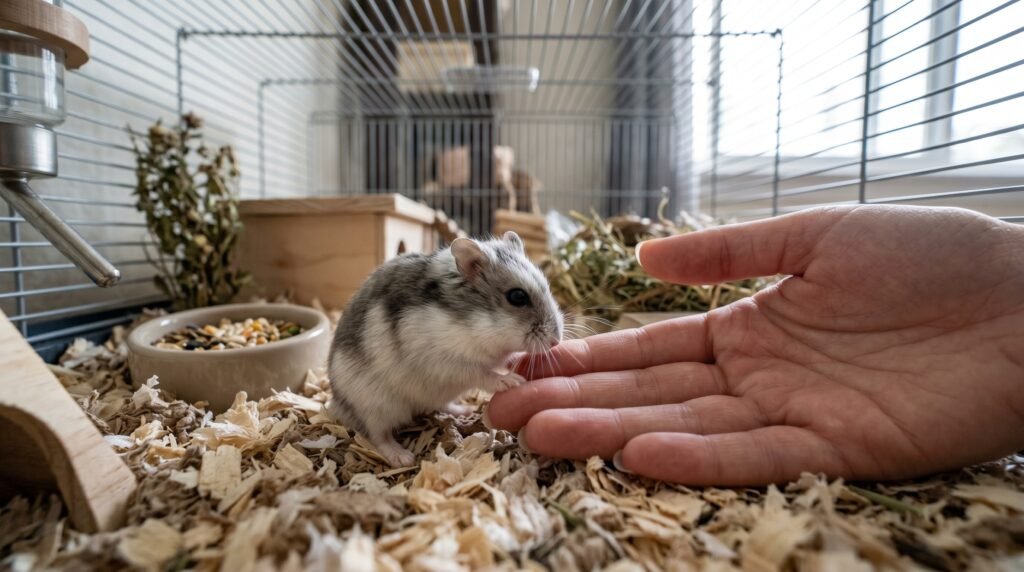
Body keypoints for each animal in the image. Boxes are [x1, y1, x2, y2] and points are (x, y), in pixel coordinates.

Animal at [327, 231, 564, 467]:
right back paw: (403, 457)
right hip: (375, 406)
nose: (556, 341)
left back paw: (465, 410)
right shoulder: (446, 363)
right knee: (377, 435)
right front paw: (512, 381)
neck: (477, 324)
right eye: (517, 296)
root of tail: (337, 403)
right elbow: (482, 373)